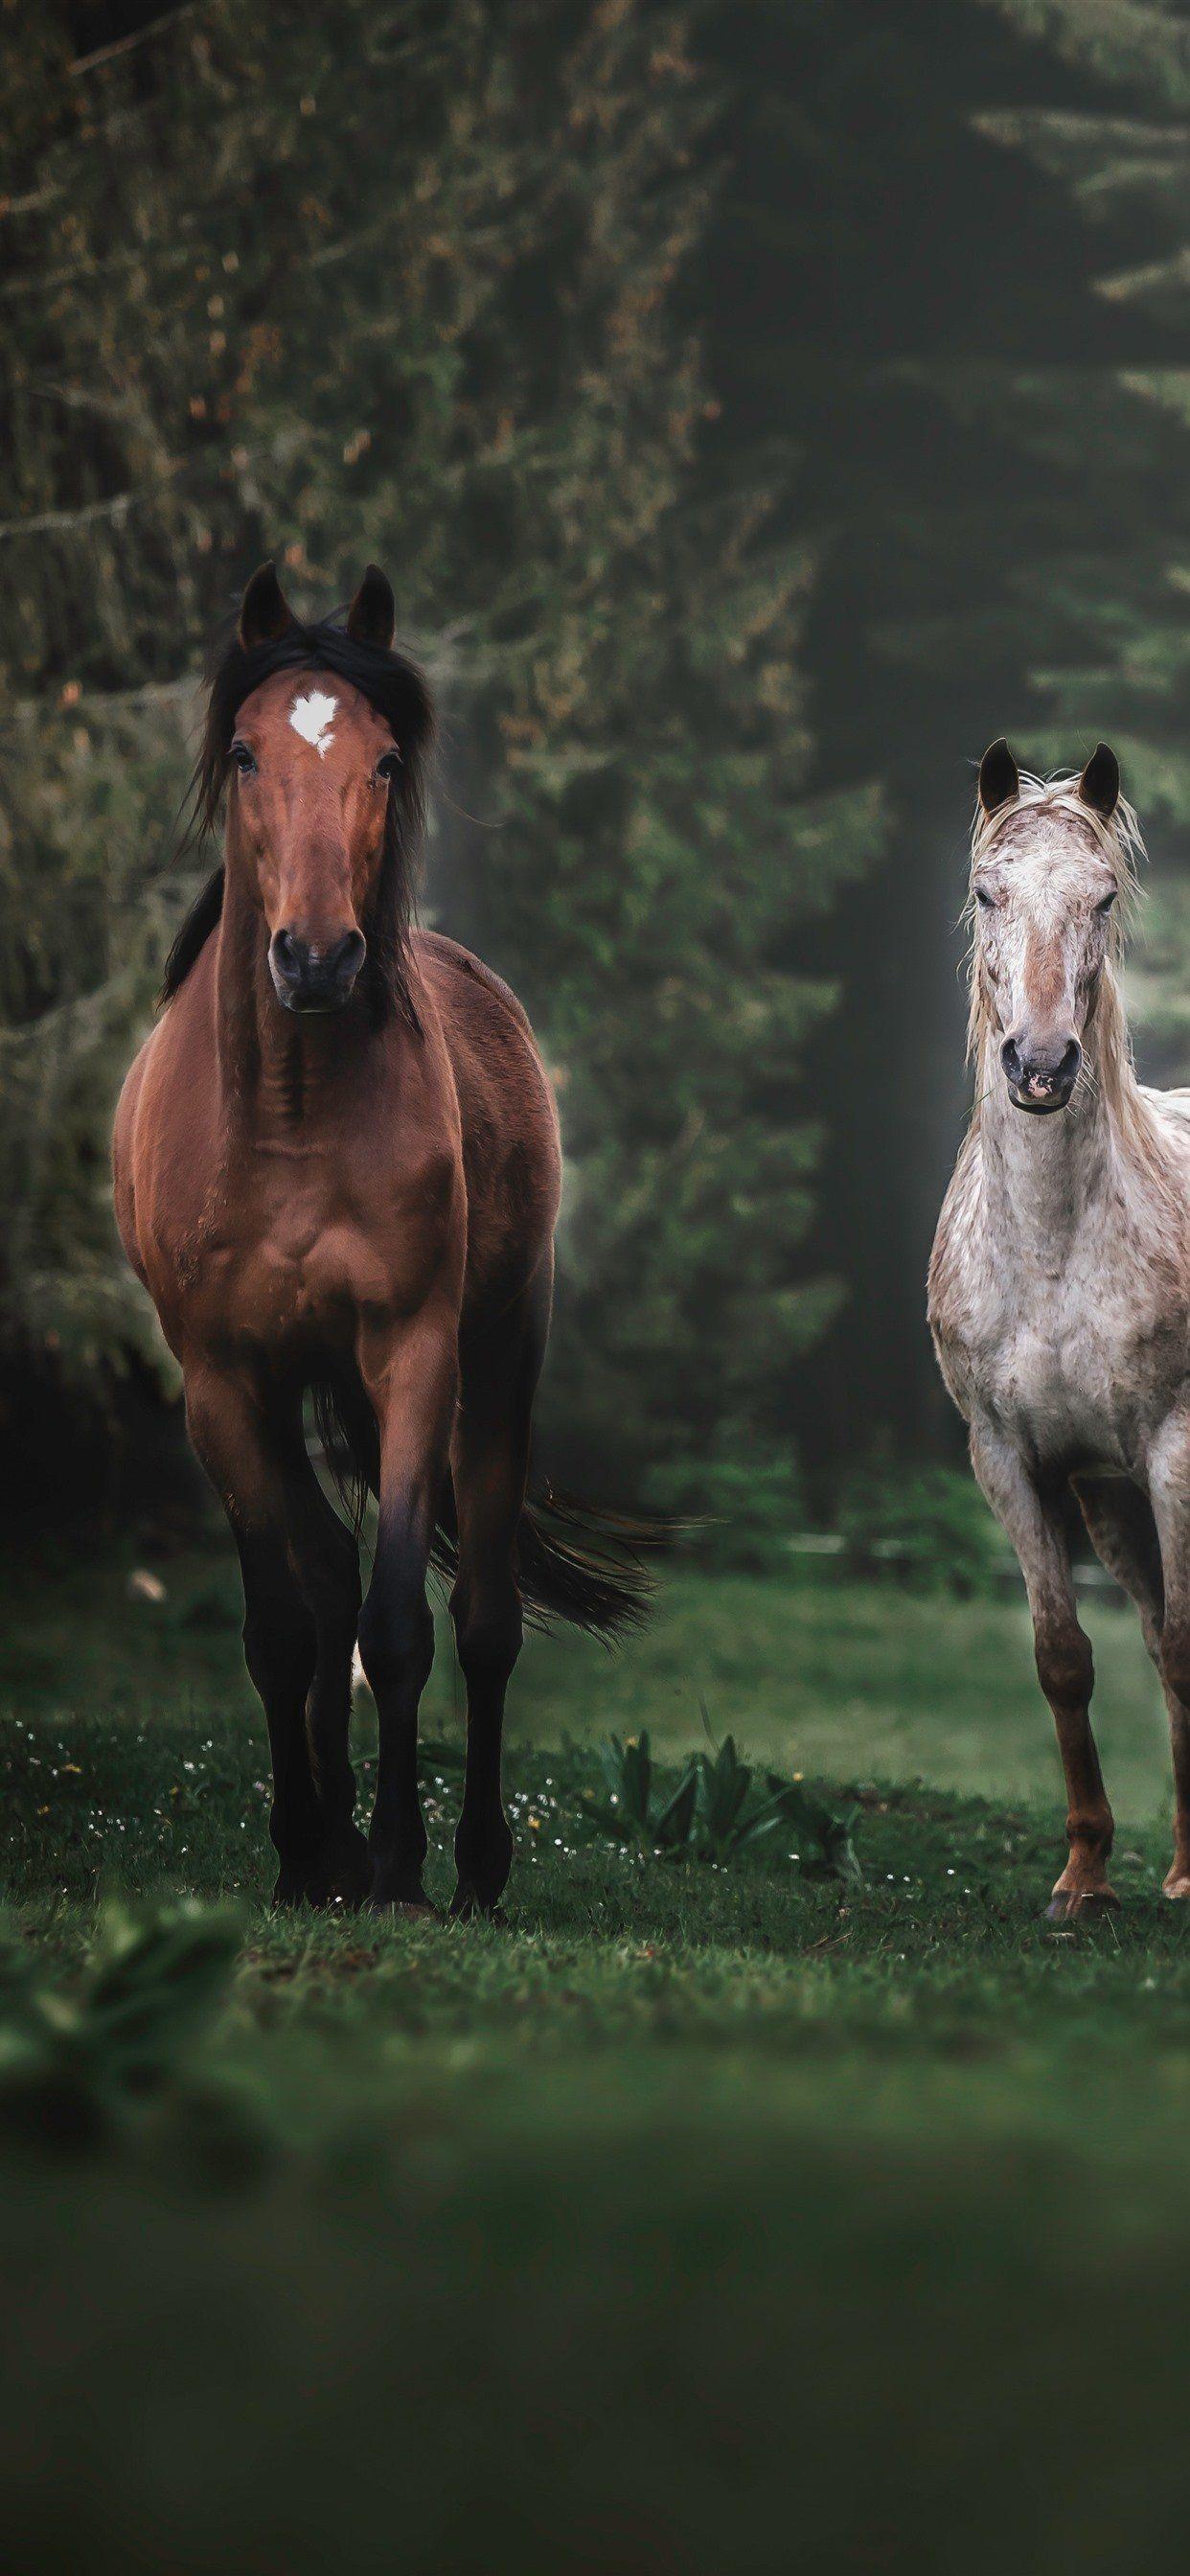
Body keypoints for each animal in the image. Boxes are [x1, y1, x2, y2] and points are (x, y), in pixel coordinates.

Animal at [113, 561, 649, 1915]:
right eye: (245, 752)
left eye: (387, 758)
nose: (315, 956)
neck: (291, 1116)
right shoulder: (223, 1383)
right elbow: (284, 1626)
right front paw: (310, 1851)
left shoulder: (413, 1357)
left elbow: (402, 1623)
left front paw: (401, 1864)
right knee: (318, 1574)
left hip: (500, 1360)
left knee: (484, 1619)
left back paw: (471, 1867)